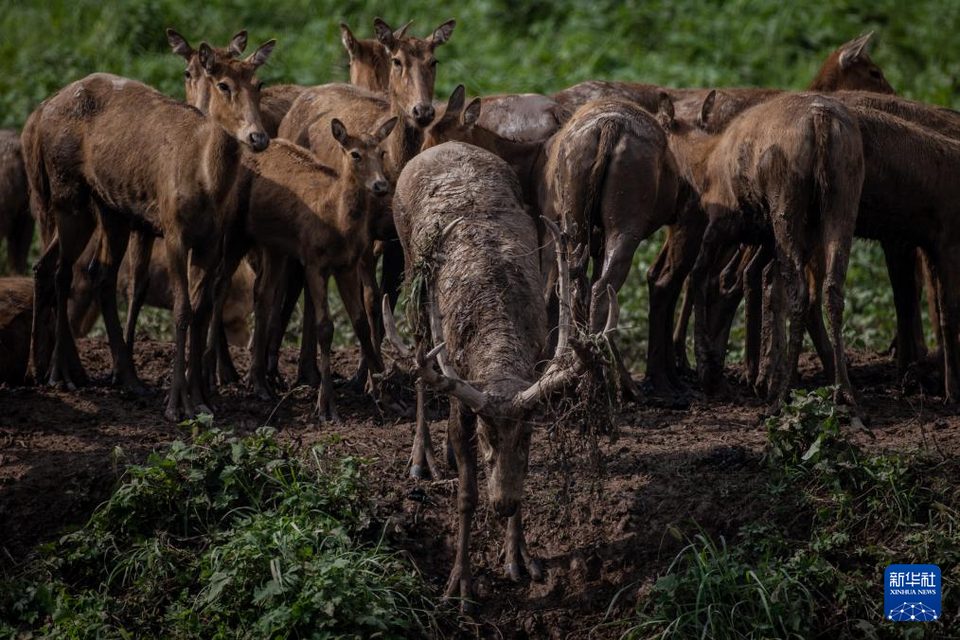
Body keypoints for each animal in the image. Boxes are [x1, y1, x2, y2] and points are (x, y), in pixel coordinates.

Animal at [22, 37, 276, 422]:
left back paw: (123, 377)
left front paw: (203, 398)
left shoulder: (210, 242)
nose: (258, 137)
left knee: (91, 272)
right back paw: (60, 373)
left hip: (110, 211)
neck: (208, 183)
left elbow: (201, 309)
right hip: (68, 197)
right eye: (224, 85)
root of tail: (41, 111)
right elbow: (182, 310)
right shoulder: (173, 233)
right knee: (61, 271)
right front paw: (177, 403)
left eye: (259, 84)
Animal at [380, 140, 616, 608]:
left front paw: (519, 558)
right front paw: (461, 584)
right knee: (418, 361)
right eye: (487, 434)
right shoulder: (461, 393)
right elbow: (467, 495)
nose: (503, 503)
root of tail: (443, 144)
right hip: (411, 273)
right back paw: (422, 457)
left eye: (525, 436)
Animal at [656, 90, 868, 408]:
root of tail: (821, 121)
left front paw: (708, 369)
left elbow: (700, 276)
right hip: (844, 196)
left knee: (800, 292)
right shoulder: (765, 235)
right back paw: (843, 389)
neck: (702, 167)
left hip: (786, 202)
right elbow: (751, 278)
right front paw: (750, 372)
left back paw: (785, 392)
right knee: (833, 288)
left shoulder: (721, 222)